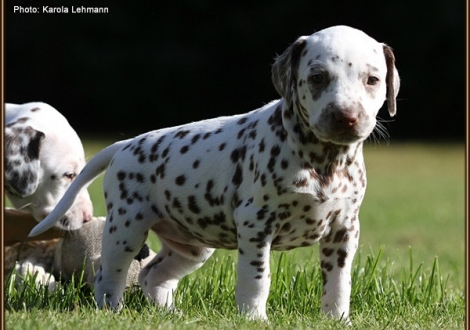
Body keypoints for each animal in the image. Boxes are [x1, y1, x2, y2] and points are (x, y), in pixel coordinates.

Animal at [29, 26, 398, 322]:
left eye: (372, 80)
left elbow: (339, 283)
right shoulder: (256, 224)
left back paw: (171, 313)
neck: (323, 163)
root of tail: (126, 143)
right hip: (126, 229)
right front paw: (254, 318)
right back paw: (113, 312)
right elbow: (257, 278)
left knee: (153, 275)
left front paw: (337, 318)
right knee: (109, 277)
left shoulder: (343, 231)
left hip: (190, 246)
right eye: (318, 77)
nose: (346, 117)